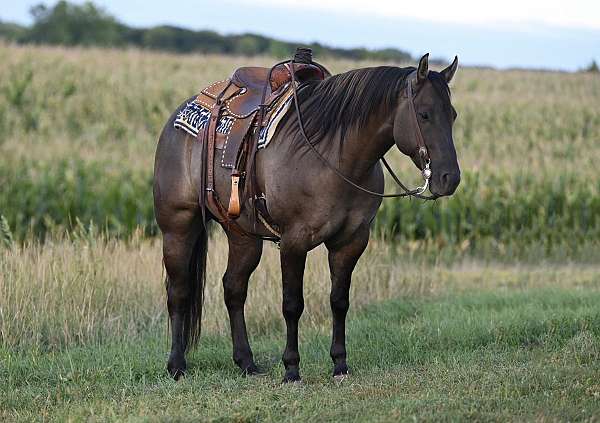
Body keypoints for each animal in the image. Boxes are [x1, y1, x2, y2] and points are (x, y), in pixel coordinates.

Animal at [154, 52, 460, 380]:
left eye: (453, 115)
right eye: (425, 114)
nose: (449, 178)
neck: (335, 157)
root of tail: (178, 116)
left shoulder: (351, 241)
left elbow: (339, 301)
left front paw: (339, 364)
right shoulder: (294, 241)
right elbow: (292, 304)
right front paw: (291, 369)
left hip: (243, 236)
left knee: (233, 289)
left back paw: (246, 362)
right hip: (178, 226)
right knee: (179, 290)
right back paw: (176, 365)